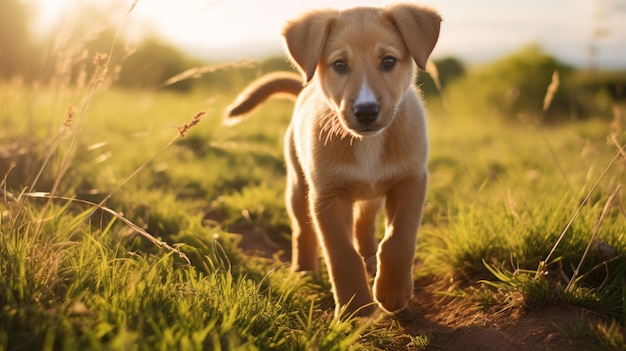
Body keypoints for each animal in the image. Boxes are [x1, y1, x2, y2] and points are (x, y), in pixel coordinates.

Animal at [225, 2, 438, 318]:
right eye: (339, 65)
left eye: (388, 61)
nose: (366, 111)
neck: (367, 144)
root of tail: (305, 89)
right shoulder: (327, 196)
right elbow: (341, 253)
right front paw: (355, 308)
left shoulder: (411, 181)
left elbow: (399, 239)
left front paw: (392, 292)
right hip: (298, 188)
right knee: (302, 230)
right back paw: (303, 271)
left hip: (370, 195)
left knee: (364, 224)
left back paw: (370, 260)